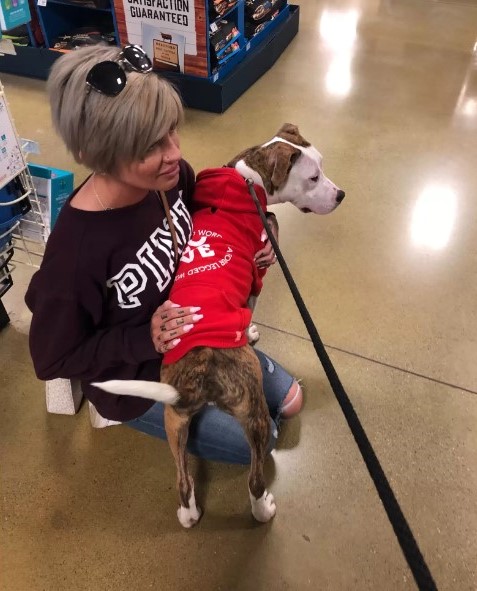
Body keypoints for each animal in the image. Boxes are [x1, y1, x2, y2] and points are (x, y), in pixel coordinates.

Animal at [94, 123, 346, 528]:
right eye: (313, 177)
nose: (340, 194)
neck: (246, 180)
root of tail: (201, 378)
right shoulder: (258, 269)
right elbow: (252, 302)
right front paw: (251, 330)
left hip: (174, 421)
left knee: (182, 479)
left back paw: (188, 513)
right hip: (256, 416)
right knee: (255, 478)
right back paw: (263, 510)